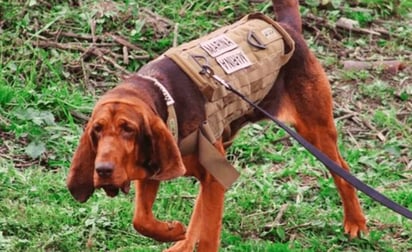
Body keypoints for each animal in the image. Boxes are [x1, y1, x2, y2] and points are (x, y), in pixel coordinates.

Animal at [67, 0, 366, 251]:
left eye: (128, 128)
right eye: (96, 130)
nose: (102, 170)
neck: (166, 97)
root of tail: (287, 27)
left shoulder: (214, 179)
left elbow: (209, 235)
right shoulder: (156, 172)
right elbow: (142, 220)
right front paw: (172, 231)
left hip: (317, 131)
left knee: (343, 172)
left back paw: (356, 222)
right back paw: (181, 243)